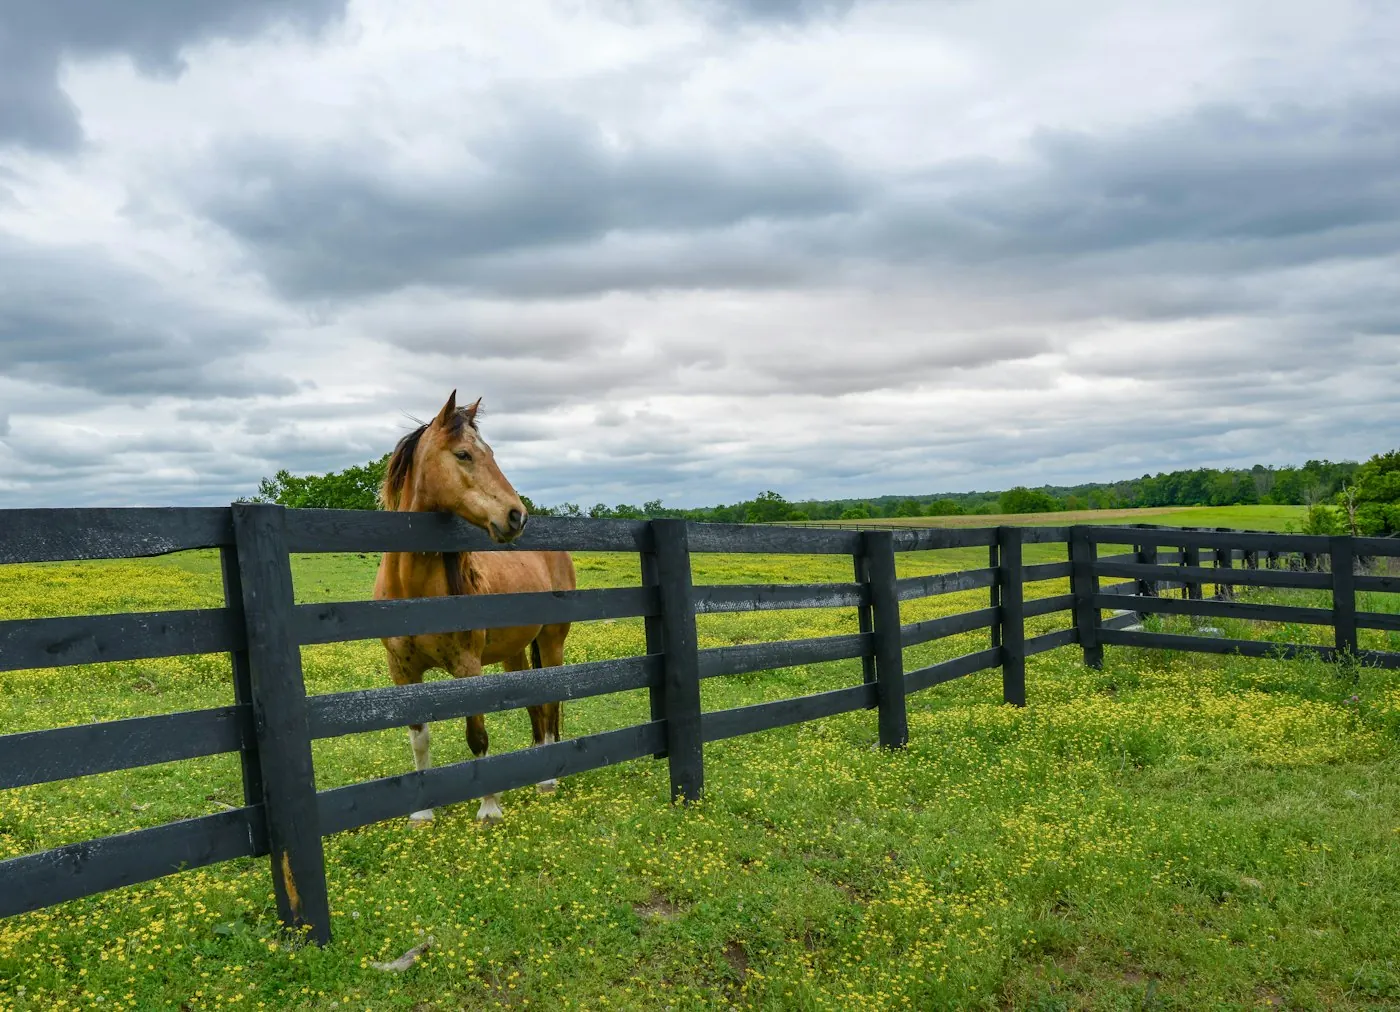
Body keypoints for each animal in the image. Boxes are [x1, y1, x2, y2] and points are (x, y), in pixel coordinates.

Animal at [373, 390, 576, 823]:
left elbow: (477, 736)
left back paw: (548, 779)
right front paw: (422, 814)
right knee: (535, 706)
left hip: (552, 643)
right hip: (515, 652)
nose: (517, 516)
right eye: (464, 454)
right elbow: (419, 739)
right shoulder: (402, 672)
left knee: (550, 704)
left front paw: (489, 809)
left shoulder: (468, 667)